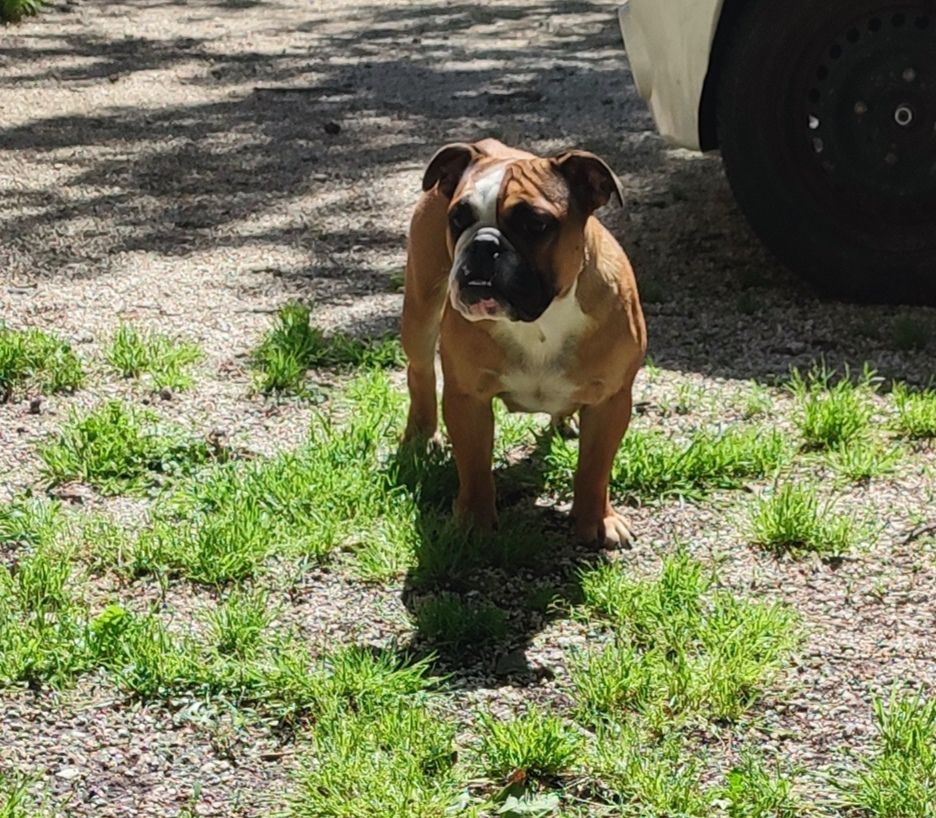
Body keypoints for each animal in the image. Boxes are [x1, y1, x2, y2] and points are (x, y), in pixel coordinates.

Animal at [401, 139, 646, 548]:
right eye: (458, 218)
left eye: (535, 224)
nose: (483, 244)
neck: (539, 321)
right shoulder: (467, 398)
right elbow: (474, 467)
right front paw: (474, 522)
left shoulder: (611, 402)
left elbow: (595, 468)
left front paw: (596, 520)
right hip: (420, 310)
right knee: (419, 370)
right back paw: (420, 436)